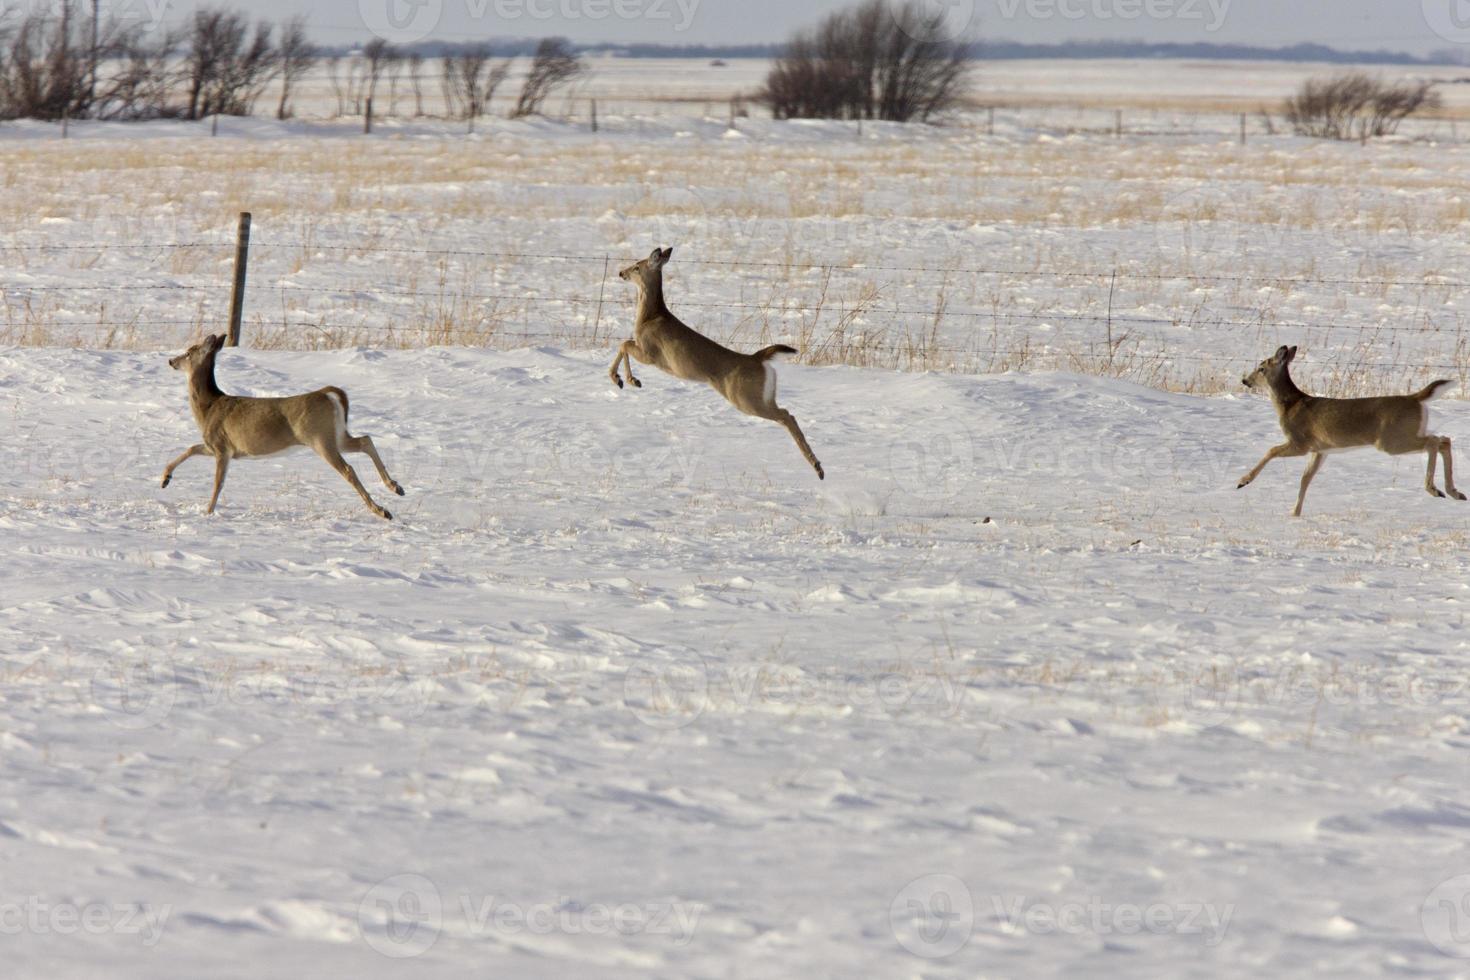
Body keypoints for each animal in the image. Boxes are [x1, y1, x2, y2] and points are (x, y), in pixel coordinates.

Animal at [160, 334, 405, 520]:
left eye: (189, 351)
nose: (171, 361)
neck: (208, 407)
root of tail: (328, 394)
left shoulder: (222, 446)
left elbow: (218, 482)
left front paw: (208, 512)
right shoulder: (216, 446)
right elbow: (191, 448)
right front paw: (165, 479)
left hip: (319, 438)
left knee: (348, 469)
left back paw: (382, 511)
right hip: (337, 435)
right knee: (365, 439)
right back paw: (396, 487)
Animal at [608, 246, 829, 481]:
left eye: (637, 267)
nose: (621, 272)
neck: (649, 317)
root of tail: (756, 358)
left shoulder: (650, 353)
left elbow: (623, 344)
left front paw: (624, 379)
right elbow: (624, 344)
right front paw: (628, 380)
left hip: (745, 397)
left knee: (787, 415)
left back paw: (817, 467)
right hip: (763, 395)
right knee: (787, 413)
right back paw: (818, 467)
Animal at [1240, 343, 1458, 517]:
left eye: (1261, 368)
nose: (1245, 381)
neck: (1290, 406)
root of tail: (1415, 398)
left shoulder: (1301, 442)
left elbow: (1271, 451)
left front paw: (1243, 481)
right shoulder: (1320, 450)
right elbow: (1305, 478)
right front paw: (1294, 513)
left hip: (1391, 439)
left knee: (1434, 441)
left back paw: (1434, 489)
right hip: (1405, 434)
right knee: (1444, 440)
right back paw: (1455, 492)